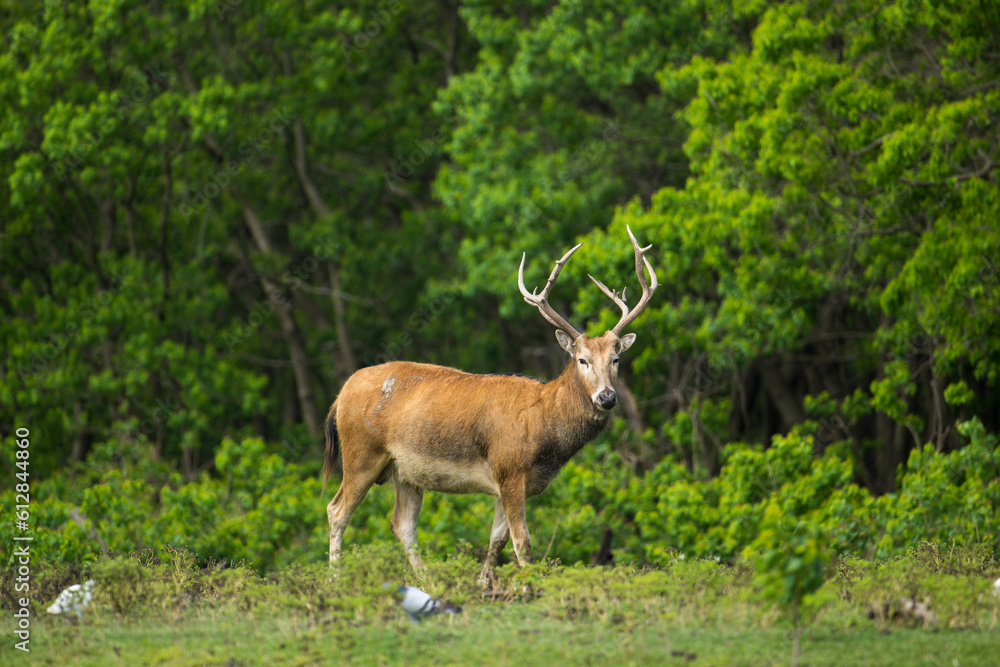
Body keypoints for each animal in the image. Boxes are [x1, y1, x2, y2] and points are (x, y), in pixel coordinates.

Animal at [324, 227, 660, 580]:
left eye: (616, 359)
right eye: (582, 360)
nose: (607, 397)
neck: (543, 426)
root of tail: (341, 395)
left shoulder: (508, 482)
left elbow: (497, 540)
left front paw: (485, 584)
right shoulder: (509, 467)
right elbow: (522, 543)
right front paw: (528, 587)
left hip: (405, 472)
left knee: (401, 524)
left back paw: (428, 581)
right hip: (361, 452)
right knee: (337, 510)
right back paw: (335, 578)